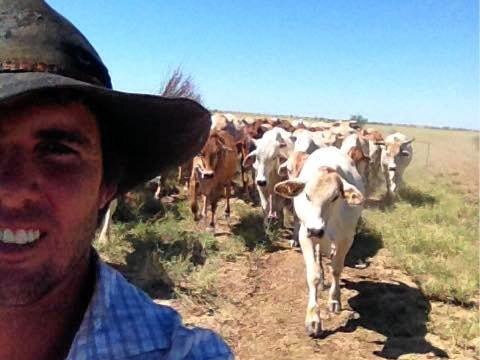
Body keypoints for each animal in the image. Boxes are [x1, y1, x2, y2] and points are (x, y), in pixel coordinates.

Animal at [274, 147, 364, 338]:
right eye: (307, 195)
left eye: (335, 197)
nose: (316, 230)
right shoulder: (305, 236)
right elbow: (313, 275)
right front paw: (313, 319)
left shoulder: (346, 239)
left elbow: (336, 269)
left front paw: (334, 299)